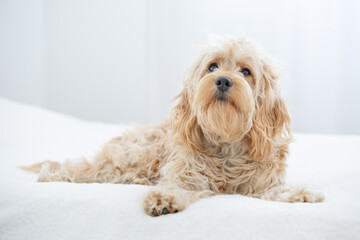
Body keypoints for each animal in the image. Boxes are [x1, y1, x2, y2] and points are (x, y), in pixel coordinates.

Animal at [21, 36, 324, 217]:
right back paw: (52, 174)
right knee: (82, 168)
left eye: (246, 71)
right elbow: (176, 187)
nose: (223, 80)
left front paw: (302, 194)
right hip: (131, 158)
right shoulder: (186, 175)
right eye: (212, 67)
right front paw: (162, 198)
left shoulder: (260, 185)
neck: (226, 143)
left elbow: (277, 191)